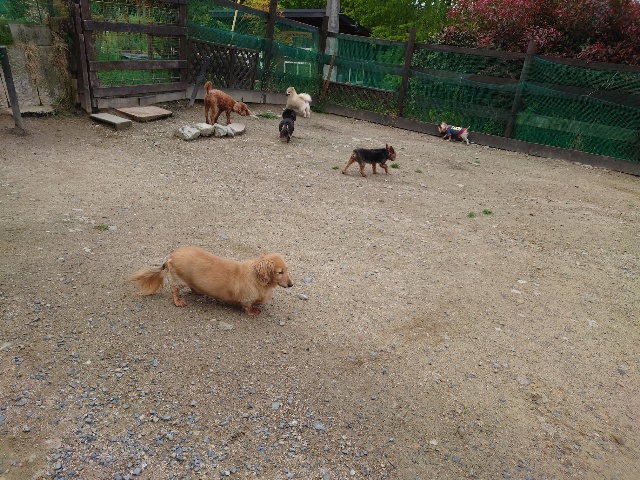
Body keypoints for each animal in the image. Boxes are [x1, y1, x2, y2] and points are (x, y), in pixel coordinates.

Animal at [130, 246, 293, 316]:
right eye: (280, 272)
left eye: (287, 269)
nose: (291, 285)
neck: (255, 277)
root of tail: (171, 256)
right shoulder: (246, 299)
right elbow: (247, 307)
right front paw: (254, 311)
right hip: (179, 280)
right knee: (174, 289)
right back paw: (178, 301)